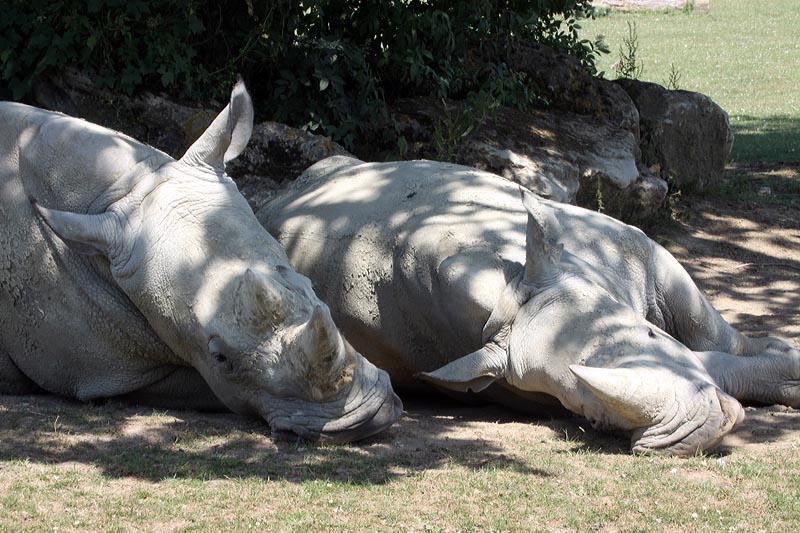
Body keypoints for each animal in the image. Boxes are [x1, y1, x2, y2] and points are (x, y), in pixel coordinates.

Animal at [0, 85, 401, 443]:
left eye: (310, 288)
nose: (366, 418)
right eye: (220, 358)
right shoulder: (107, 370)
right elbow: (219, 390)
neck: (125, 190)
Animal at [259, 156, 800, 455]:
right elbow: (709, 360)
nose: (694, 432)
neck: (512, 288)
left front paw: (787, 365)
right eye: (586, 413)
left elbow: (708, 339)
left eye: (648, 335)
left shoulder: (638, 250)